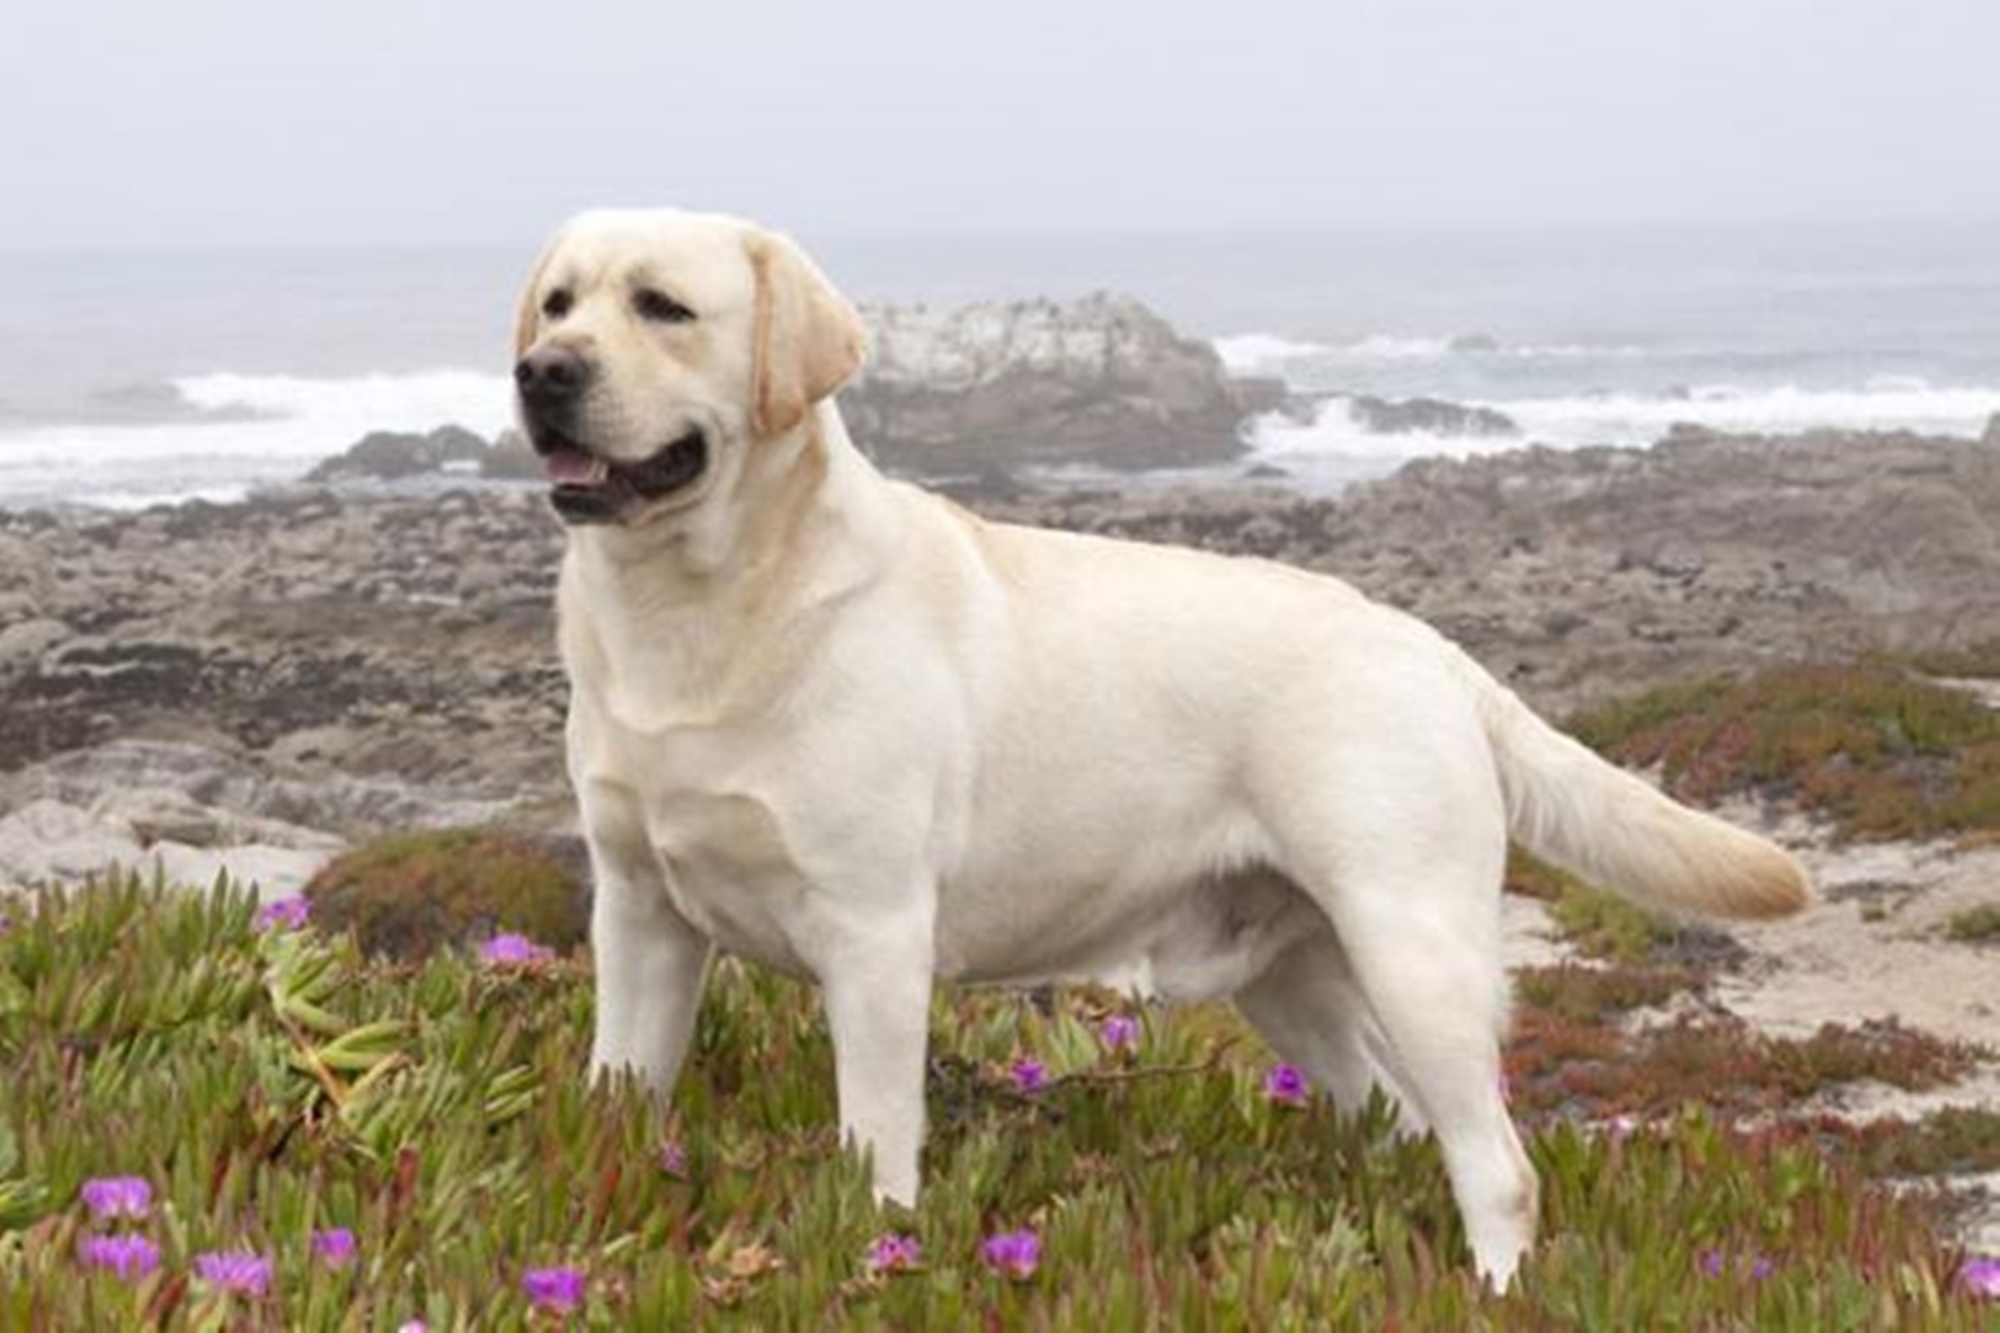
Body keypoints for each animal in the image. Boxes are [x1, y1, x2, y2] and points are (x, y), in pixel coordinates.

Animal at [516, 210, 1816, 1288]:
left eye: (663, 307)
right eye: (558, 301)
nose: (541, 373)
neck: (699, 612)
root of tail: (1437, 652)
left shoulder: (873, 932)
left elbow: (874, 1141)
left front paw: (879, 1248)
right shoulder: (638, 912)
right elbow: (619, 1087)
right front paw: (601, 1191)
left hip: (1414, 947)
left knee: (1497, 1162)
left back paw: (1493, 1291)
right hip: (1295, 980)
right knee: (1401, 1121)